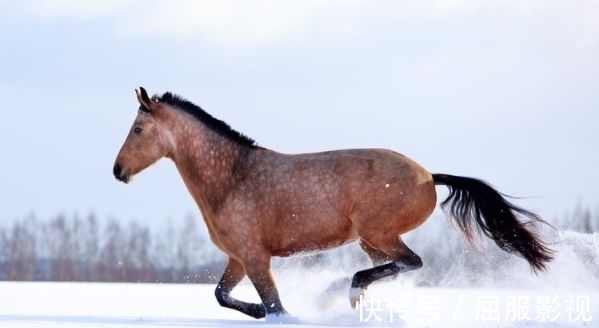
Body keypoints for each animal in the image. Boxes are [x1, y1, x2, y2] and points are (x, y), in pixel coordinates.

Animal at [112, 87, 552, 320]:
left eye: (138, 129)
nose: (118, 171)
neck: (231, 177)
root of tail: (429, 175)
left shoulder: (255, 257)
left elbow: (274, 304)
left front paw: (277, 315)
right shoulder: (238, 257)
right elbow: (221, 295)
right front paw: (258, 313)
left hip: (379, 232)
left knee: (410, 263)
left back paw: (344, 290)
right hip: (371, 240)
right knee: (392, 267)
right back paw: (347, 295)